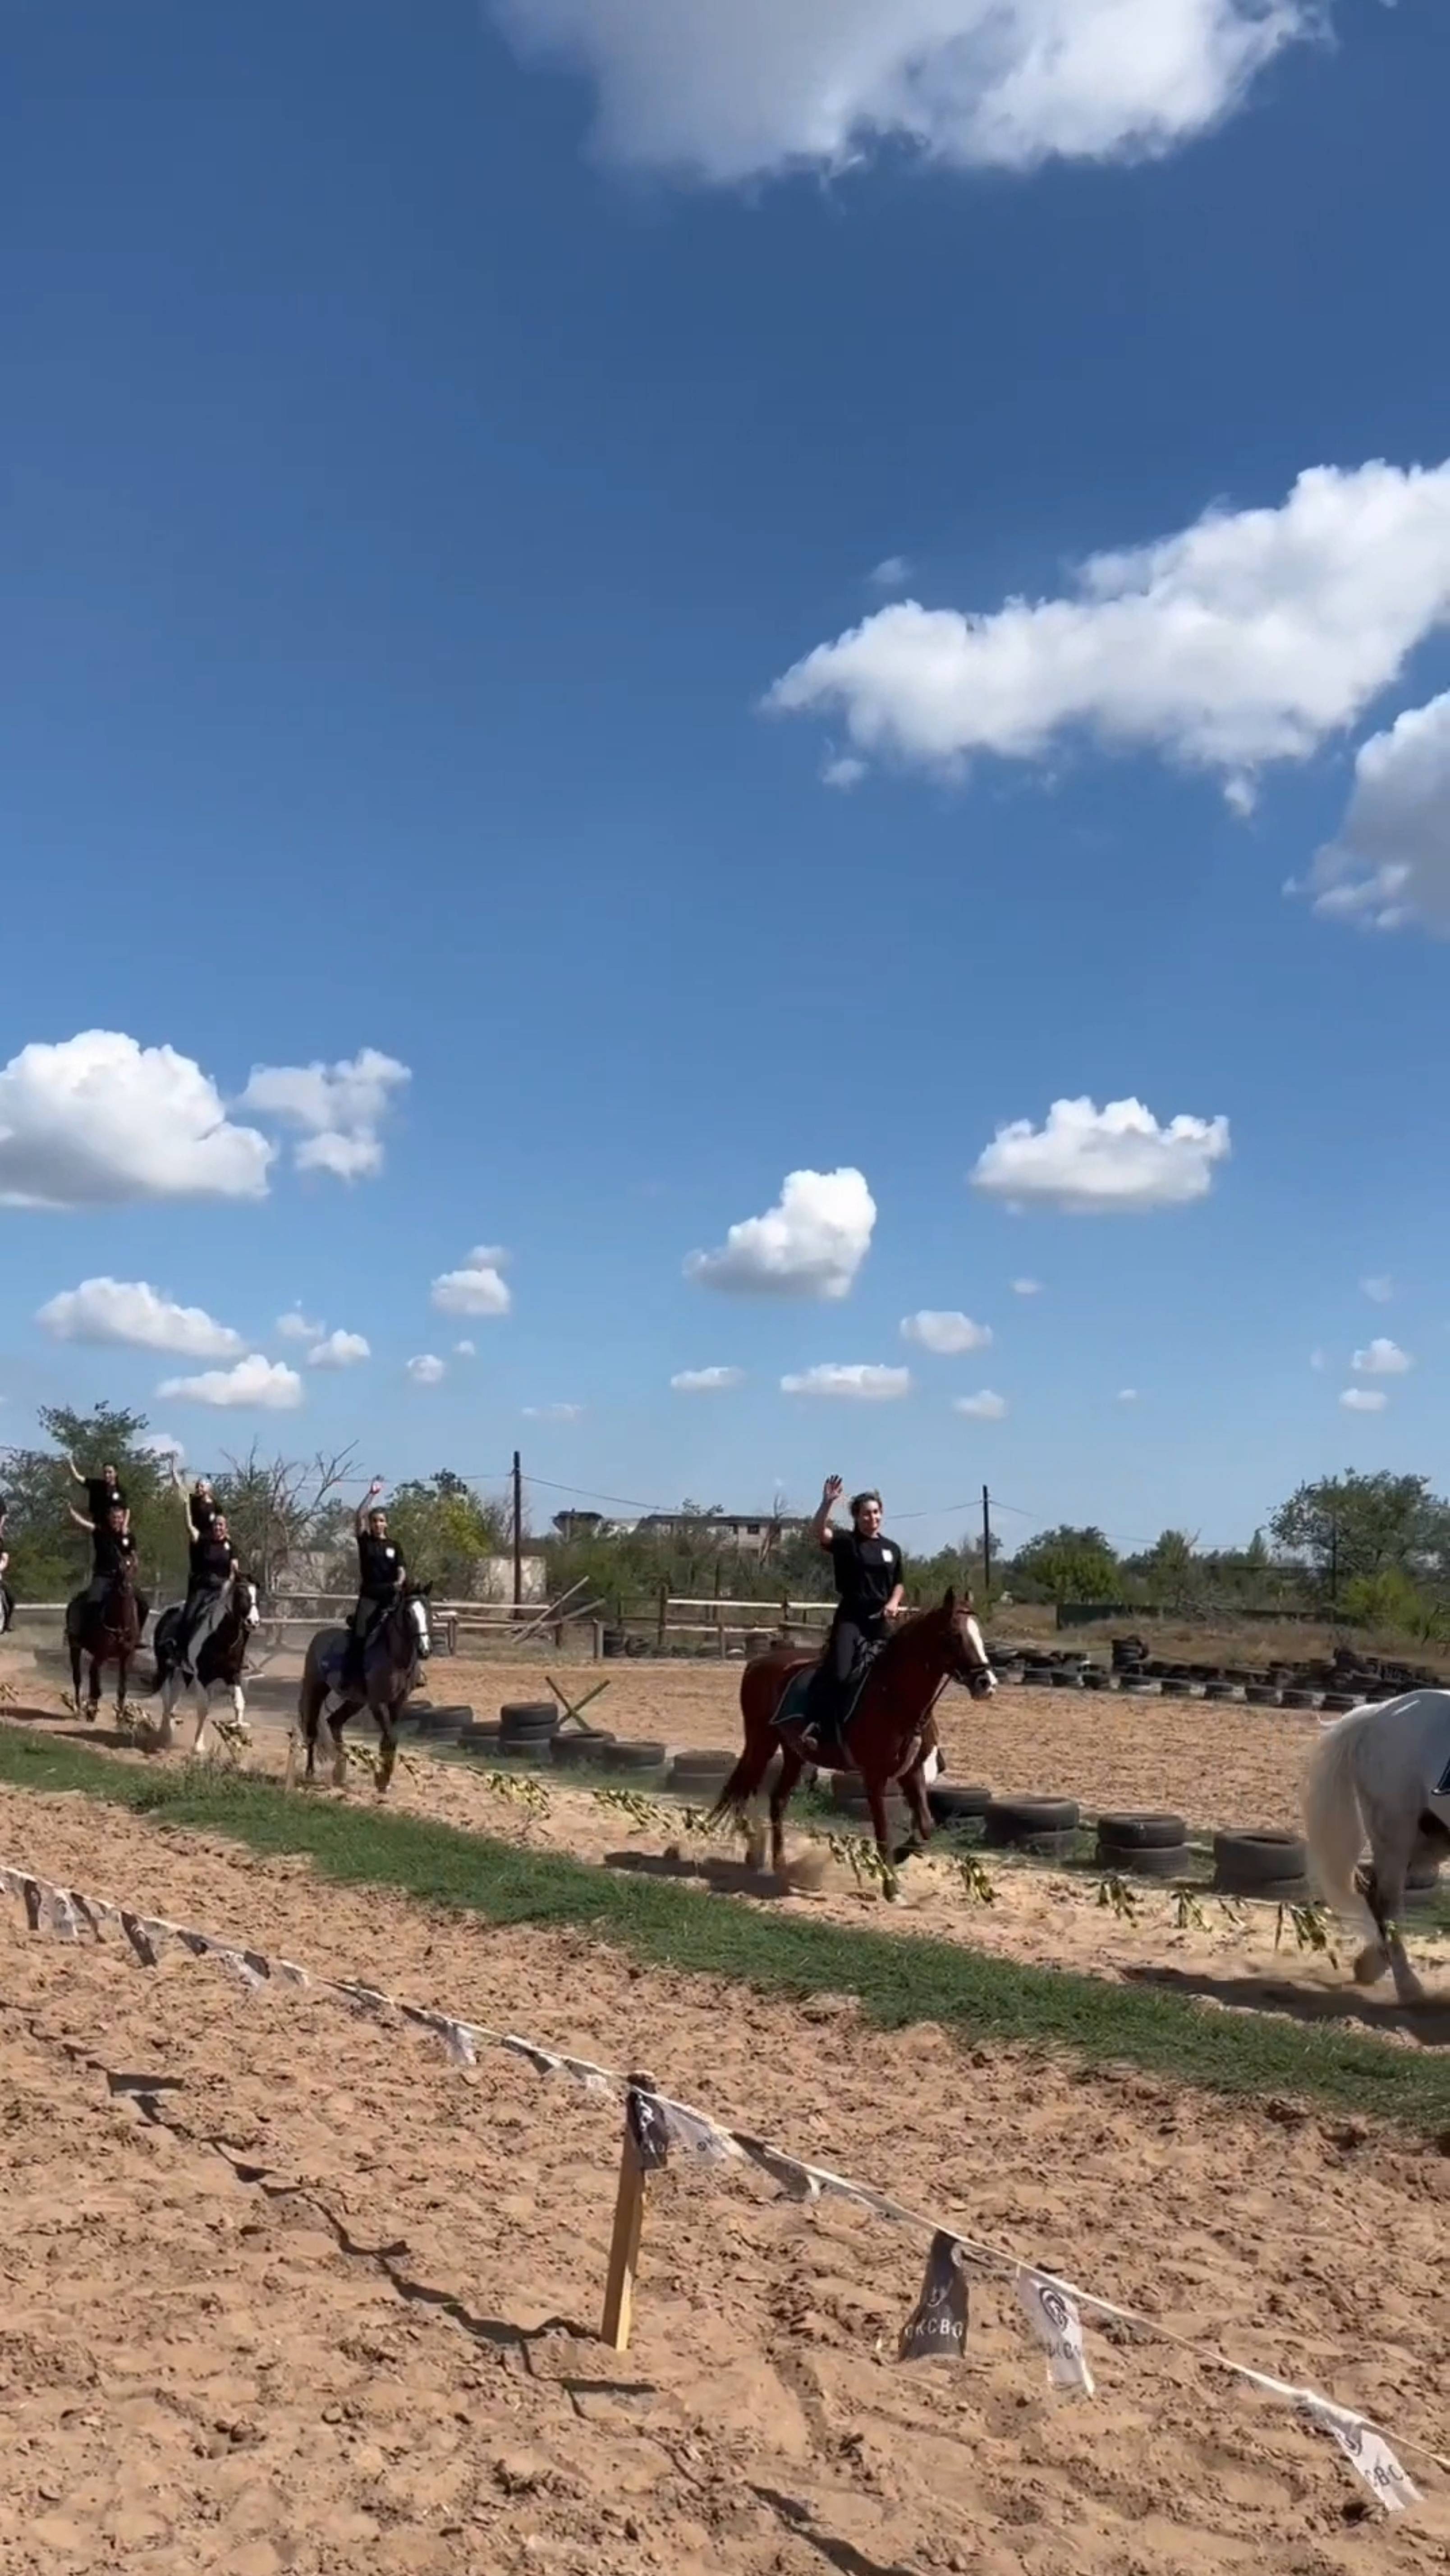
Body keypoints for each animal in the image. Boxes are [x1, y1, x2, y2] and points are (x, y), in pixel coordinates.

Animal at [65, 1556, 146, 1720]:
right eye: (119, 1569)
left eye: (134, 1568)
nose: (125, 1588)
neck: (120, 1624)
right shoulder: (101, 1654)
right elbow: (95, 1682)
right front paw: (91, 1709)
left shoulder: (127, 1656)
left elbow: (122, 1687)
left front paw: (121, 1714)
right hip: (75, 1648)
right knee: (78, 1678)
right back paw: (79, 1708)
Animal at [711, 1586, 999, 1875]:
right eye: (955, 1635)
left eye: (979, 1633)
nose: (987, 1683)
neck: (894, 1698)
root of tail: (757, 1662)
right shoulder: (874, 1777)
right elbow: (884, 1834)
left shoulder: (912, 1771)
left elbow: (925, 1828)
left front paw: (899, 1856)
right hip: (762, 1742)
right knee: (743, 1792)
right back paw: (755, 1853)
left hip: (794, 1753)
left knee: (777, 1800)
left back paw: (779, 1862)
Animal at [1303, 1690, 1450, 2009]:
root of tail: (1378, 1712)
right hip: (1394, 1831)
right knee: (1387, 1900)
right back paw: (1407, 1986)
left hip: (1431, 1836)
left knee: (1373, 1890)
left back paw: (1371, 1965)